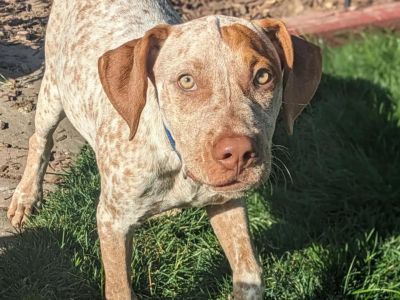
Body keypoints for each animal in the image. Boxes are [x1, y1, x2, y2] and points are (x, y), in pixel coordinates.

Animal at [8, 1, 322, 298]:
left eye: (263, 76)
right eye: (186, 80)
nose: (239, 153)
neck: (178, 161)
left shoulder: (227, 203)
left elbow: (249, 273)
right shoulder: (112, 221)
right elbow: (120, 288)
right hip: (53, 93)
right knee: (40, 140)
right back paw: (25, 198)